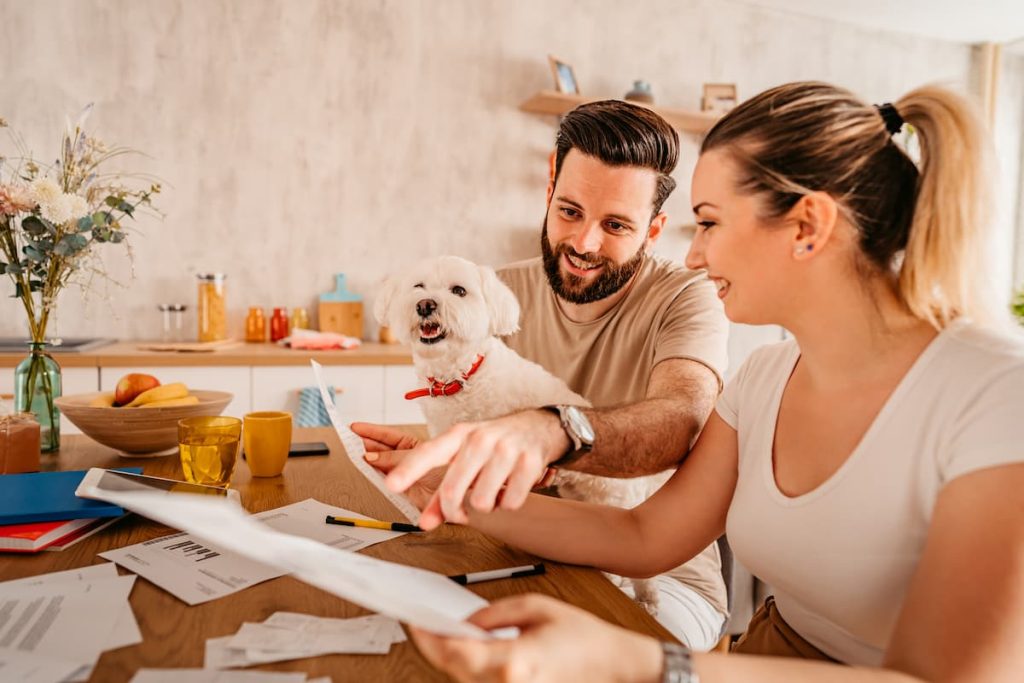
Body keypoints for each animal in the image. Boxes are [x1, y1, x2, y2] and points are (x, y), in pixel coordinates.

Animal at [378, 255, 663, 614]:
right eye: (418, 286)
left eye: (459, 291)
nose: (425, 305)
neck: (460, 377)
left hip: (614, 504)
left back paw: (645, 598)